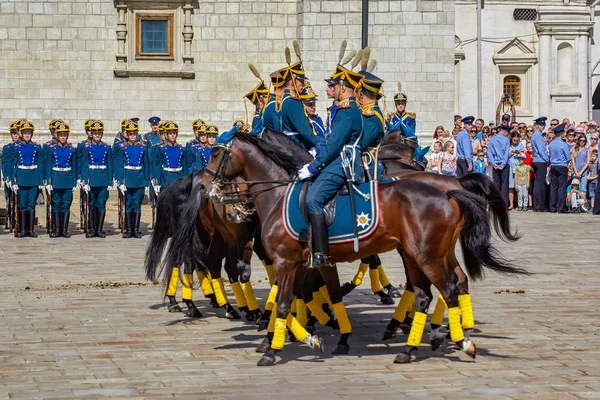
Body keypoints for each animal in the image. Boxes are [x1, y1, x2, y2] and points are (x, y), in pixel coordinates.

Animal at [195, 130, 528, 366]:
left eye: (216, 153)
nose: (203, 187)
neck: (278, 193)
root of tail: (448, 191)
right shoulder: (307, 262)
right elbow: (306, 296)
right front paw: (314, 336)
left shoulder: (287, 262)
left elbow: (286, 302)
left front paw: (274, 347)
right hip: (425, 254)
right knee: (441, 288)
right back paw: (417, 344)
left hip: (426, 256)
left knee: (447, 290)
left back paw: (456, 340)